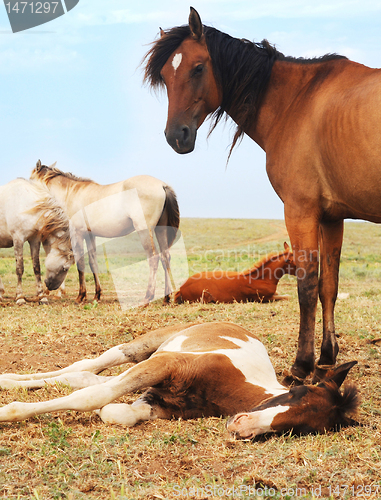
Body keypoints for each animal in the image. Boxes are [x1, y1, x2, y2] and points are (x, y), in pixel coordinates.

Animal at [0, 178, 74, 306]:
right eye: (65, 268)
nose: (53, 287)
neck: (25, 204)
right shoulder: (18, 239)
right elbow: (19, 268)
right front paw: (20, 297)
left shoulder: (34, 240)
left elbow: (36, 267)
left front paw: (41, 297)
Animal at [30, 162, 179, 302]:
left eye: (30, 180)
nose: (49, 285)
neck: (70, 194)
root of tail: (162, 185)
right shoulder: (90, 235)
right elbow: (92, 262)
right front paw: (97, 295)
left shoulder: (77, 234)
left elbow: (80, 263)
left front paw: (81, 296)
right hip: (161, 230)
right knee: (165, 257)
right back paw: (166, 297)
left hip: (145, 231)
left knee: (153, 258)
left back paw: (148, 297)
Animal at [142, 6, 380, 382]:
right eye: (165, 75)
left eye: (198, 67)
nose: (175, 135)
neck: (298, 102)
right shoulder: (331, 217)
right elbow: (329, 285)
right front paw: (327, 356)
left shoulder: (300, 212)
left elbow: (307, 287)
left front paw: (301, 365)